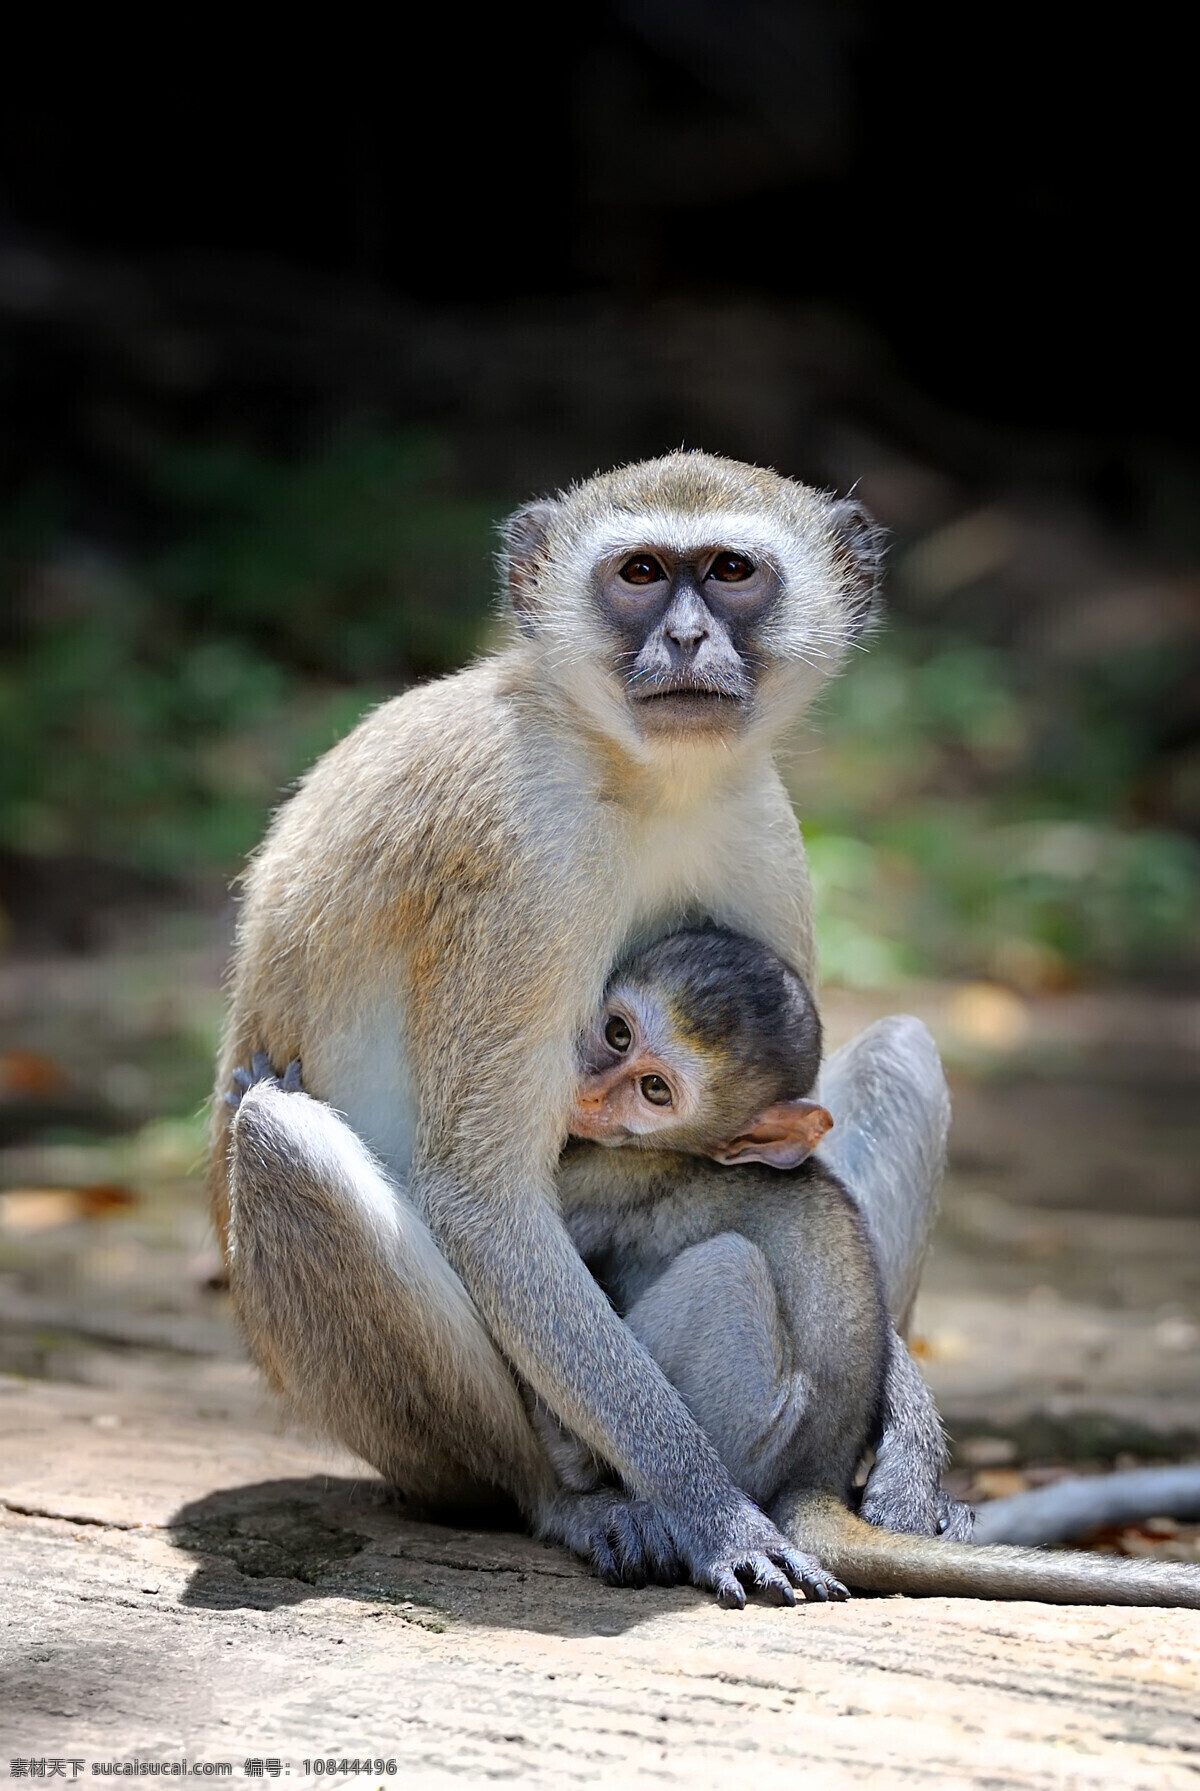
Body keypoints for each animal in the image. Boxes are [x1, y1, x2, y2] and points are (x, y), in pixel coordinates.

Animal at [214, 451, 952, 1611]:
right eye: (642, 572)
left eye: (731, 572)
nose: (687, 639)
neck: (640, 777)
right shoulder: (526, 862)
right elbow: (482, 1194)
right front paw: (710, 1507)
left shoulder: (761, 829)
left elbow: (800, 1131)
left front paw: (915, 1441)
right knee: (282, 1140)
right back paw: (566, 1498)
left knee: (904, 1050)